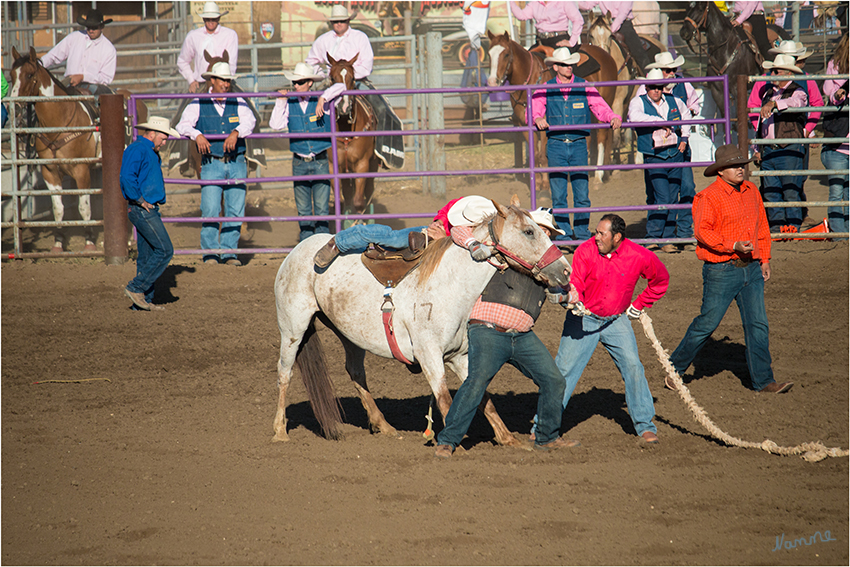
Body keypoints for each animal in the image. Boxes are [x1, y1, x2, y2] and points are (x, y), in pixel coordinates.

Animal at [274, 197, 568, 446]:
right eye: (529, 232)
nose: (565, 270)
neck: (449, 286)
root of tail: (299, 249)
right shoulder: (429, 355)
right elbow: (445, 399)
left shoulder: (460, 357)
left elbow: (482, 395)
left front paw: (508, 439)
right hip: (292, 328)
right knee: (285, 372)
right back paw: (279, 431)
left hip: (349, 334)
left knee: (355, 371)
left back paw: (384, 425)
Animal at [324, 53, 378, 217]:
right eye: (332, 78)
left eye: (353, 78)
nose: (344, 107)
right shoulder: (334, 166)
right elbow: (340, 201)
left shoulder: (362, 164)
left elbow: (359, 202)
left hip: (372, 164)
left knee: (368, 192)